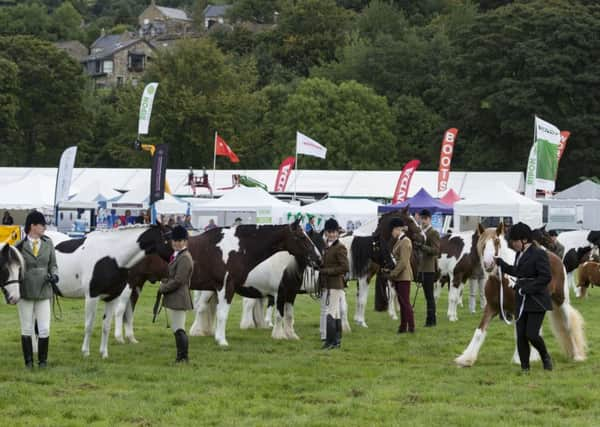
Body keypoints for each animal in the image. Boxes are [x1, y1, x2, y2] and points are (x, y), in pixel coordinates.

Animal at [454, 224, 584, 368]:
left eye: (496, 242)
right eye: (482, 244)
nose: (488, 264)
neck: (501, 281)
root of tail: (555, 258)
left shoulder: (517, 310)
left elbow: (519, 334)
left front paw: (518, 359)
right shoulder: (491, 307)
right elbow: (479, 331)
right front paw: (466, 359)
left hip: (561, 301)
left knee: (568, 325)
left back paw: (577, 355)